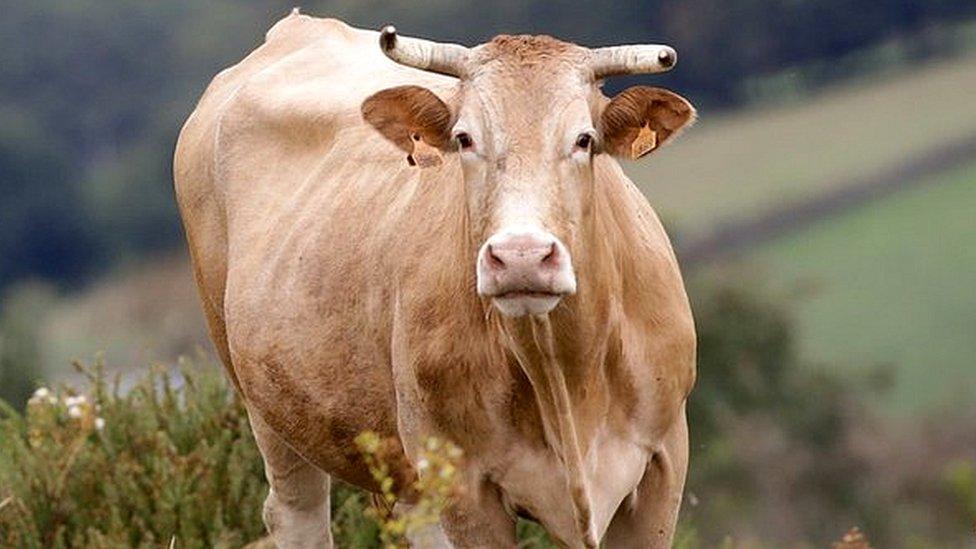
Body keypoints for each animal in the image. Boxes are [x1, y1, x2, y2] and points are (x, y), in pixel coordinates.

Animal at [173, 9, 692, 548]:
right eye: (465, 139)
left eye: (584, 139)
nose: (521, 256)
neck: (564, 381)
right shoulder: (464, 489)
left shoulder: (663, 468)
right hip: (268, 409)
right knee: (296, 513)